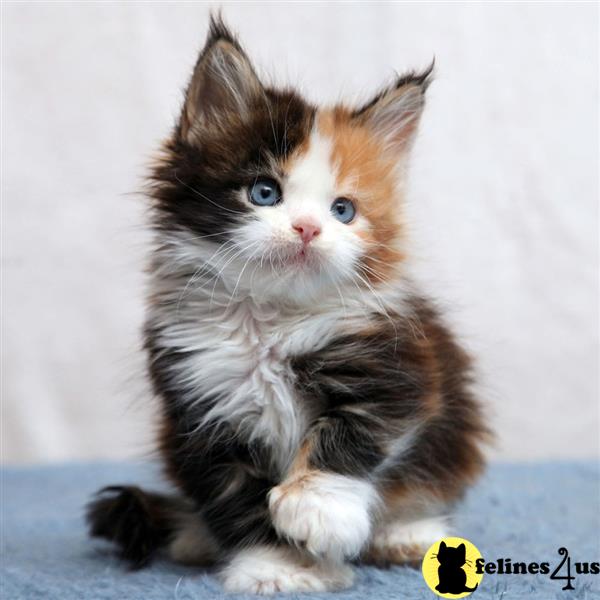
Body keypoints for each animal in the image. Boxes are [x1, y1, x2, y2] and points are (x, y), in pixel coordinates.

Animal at [86, 16, 490, 592]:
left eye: (343, 210)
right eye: (264, 193)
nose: (308, 228)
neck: (271, 319)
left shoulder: (402, 365)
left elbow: (356, 430)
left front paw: (318, 509)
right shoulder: (200, 408)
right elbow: (239, 501)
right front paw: (280, 565)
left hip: (452, 432)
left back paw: (404, 534)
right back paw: (195, 538)